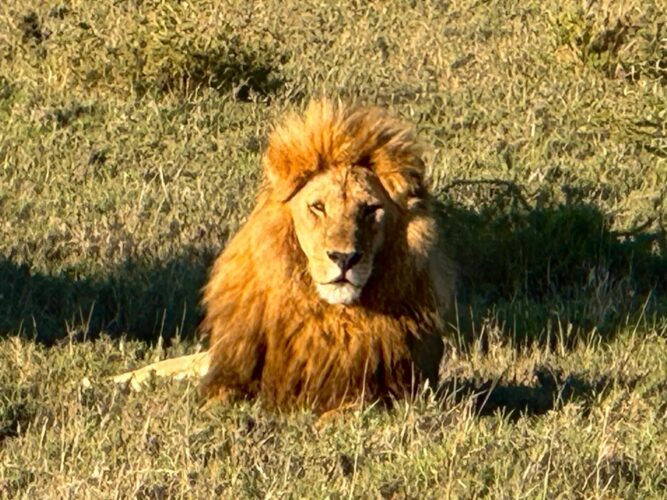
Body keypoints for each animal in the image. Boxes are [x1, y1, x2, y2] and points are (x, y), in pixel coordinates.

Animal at [113, 99, 455, 414]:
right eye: (318, 207)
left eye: (370, 209)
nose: (344, 258)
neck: (330, 314)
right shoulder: (234, 371)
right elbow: (217, 397)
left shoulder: (387, 389)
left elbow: (347, 410)